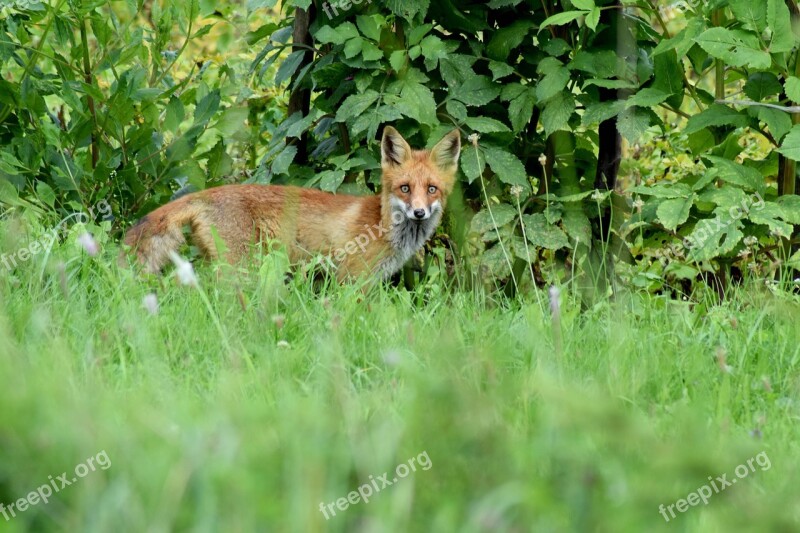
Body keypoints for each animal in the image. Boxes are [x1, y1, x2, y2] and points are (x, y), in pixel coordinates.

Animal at [124, 127, 462, 280]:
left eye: (432, 189)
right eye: (405, 188)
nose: (419, 212)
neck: (381, 226)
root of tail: (209, 193)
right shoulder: (352, 278)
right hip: (242, 268)